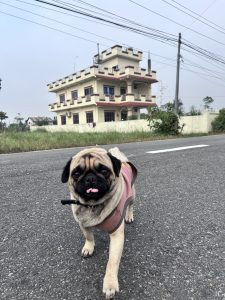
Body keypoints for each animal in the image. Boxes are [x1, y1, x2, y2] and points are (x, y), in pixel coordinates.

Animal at [60, 146, 136, 298]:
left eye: (104, 171)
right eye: (76, 173)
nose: (90, 178)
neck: (93, 205)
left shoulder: (116, 235)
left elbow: (112, 261)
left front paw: (110, 284)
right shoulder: (83, 223)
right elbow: (88, 237)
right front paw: (88, 248)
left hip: (132, 195)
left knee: (130, 205)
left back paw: (129, 215)